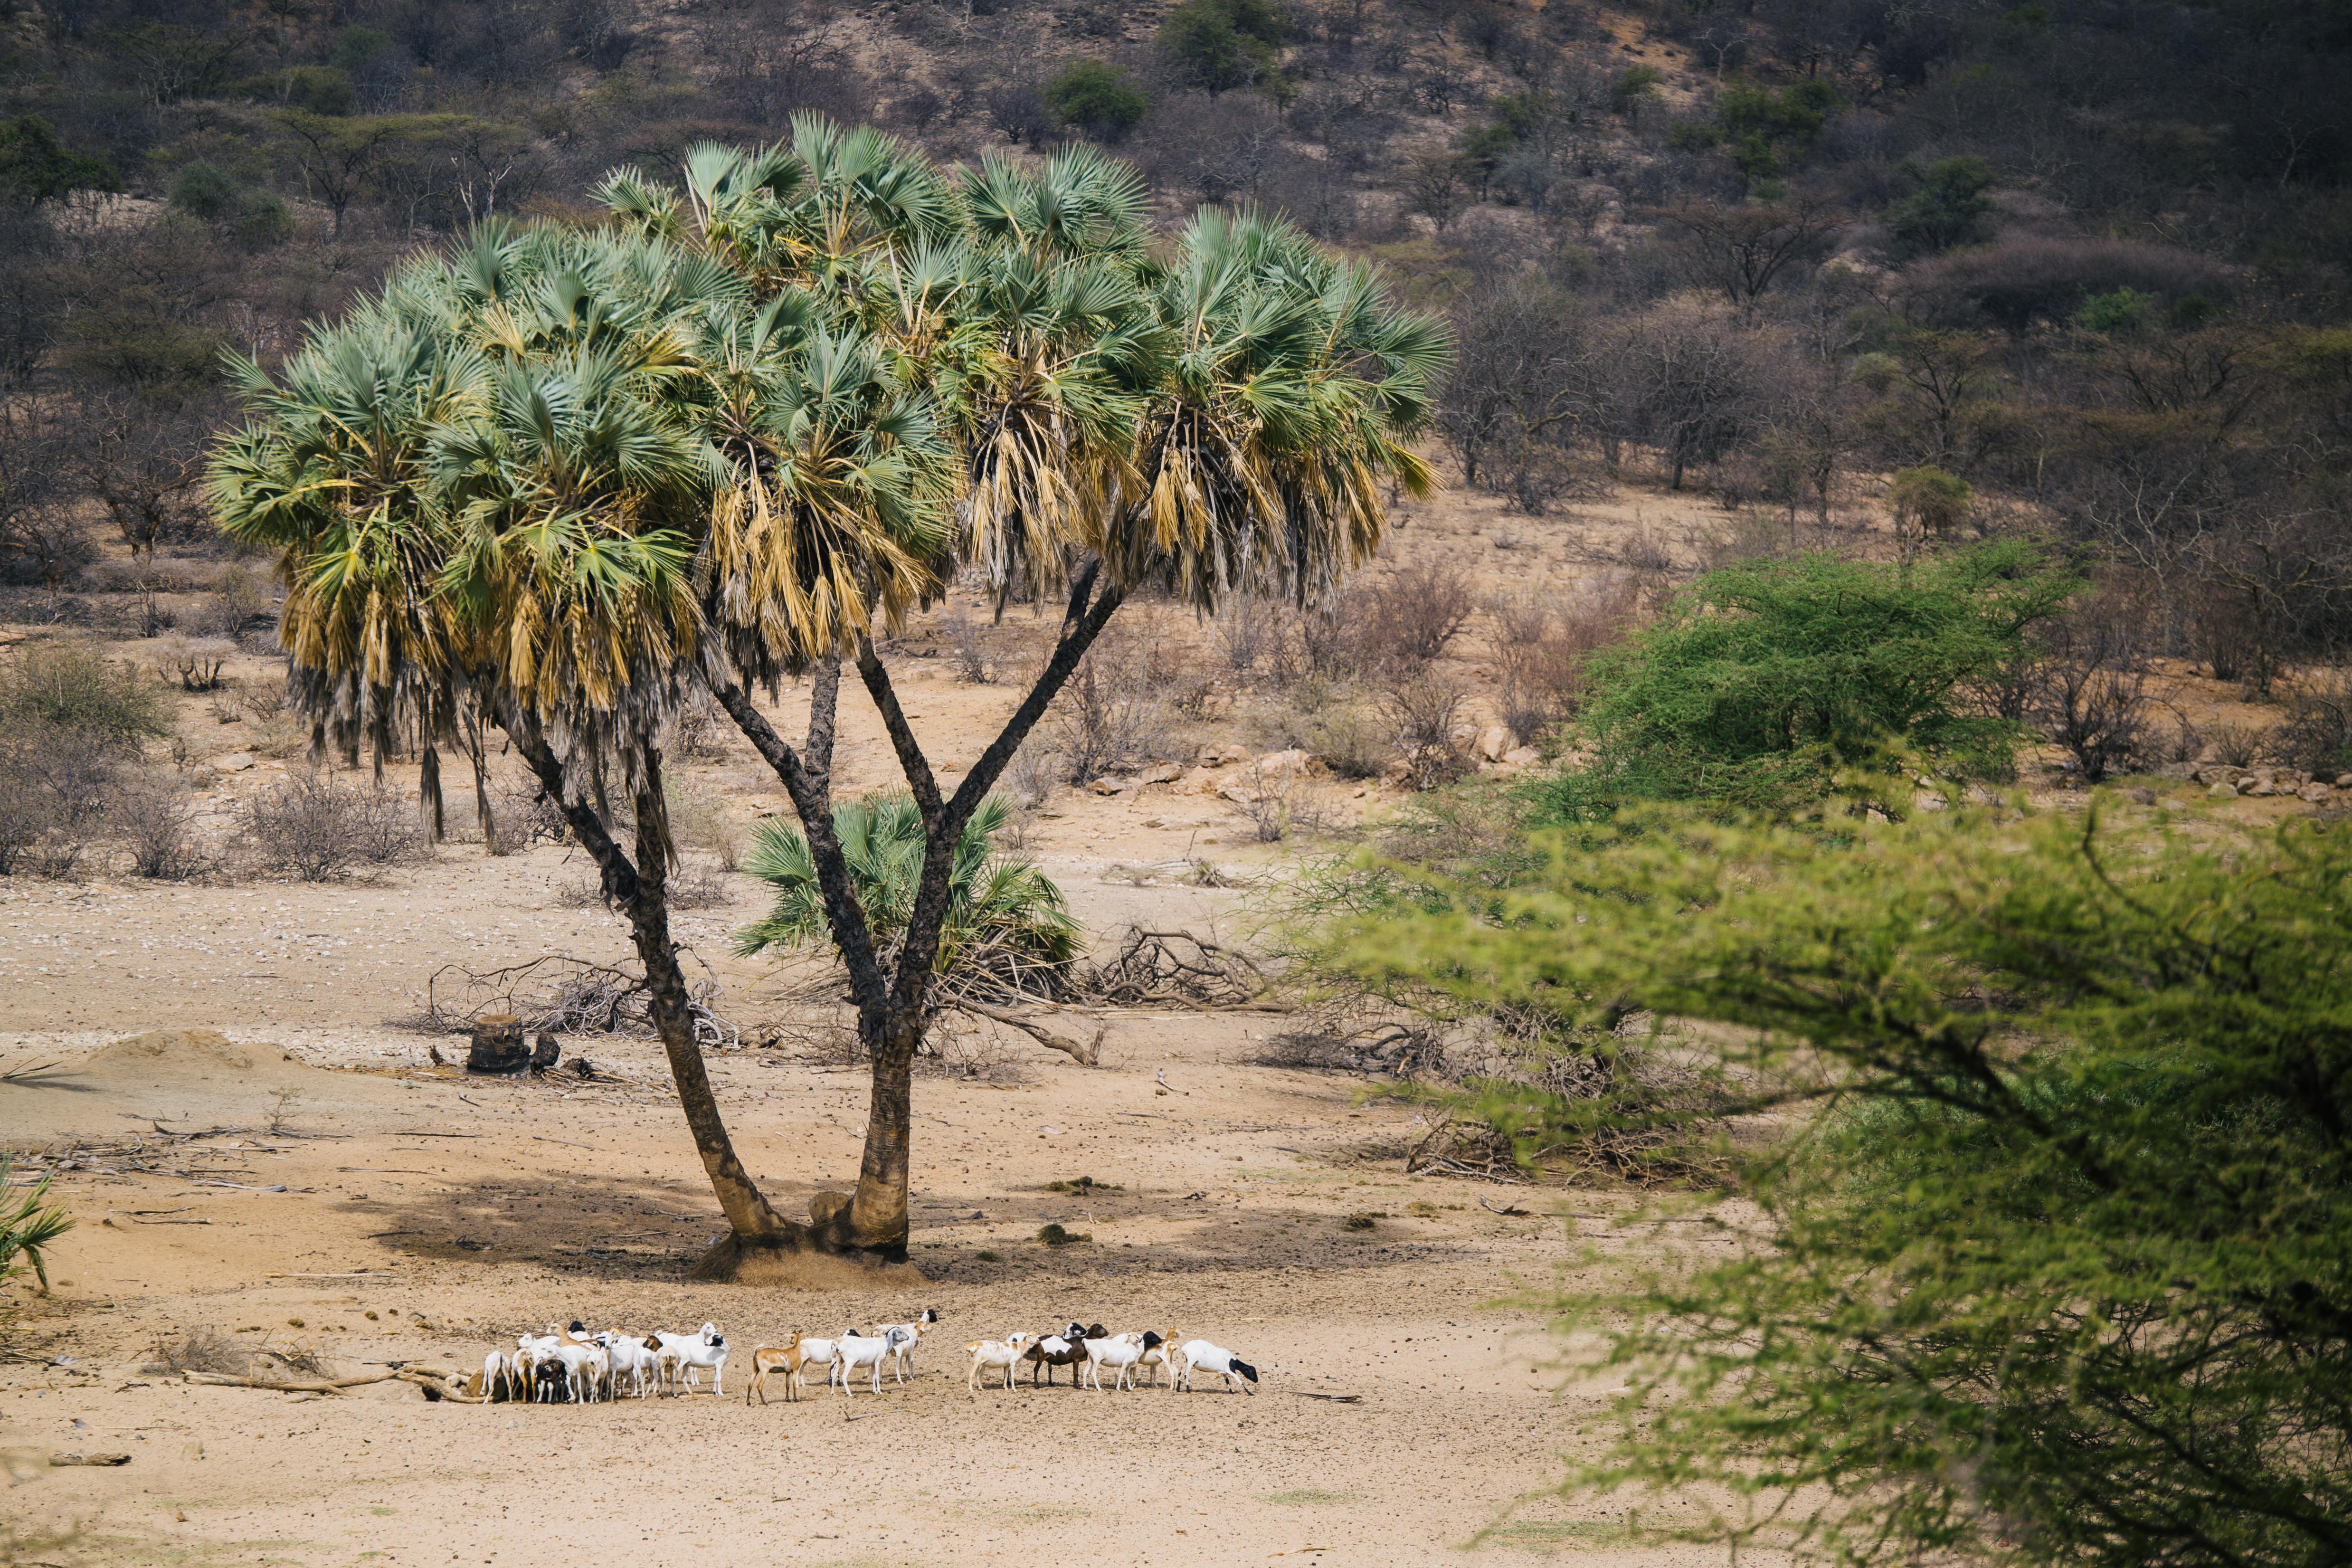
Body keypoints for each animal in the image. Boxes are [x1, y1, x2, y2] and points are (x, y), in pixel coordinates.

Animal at [965, 1332, 1035, 1396]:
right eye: (1030, 1335)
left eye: (1036, 1334)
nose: (1037, 1340)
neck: (1019, 1347)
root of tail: (970, 1346)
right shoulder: (1013, 1363)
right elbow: (1012, 1376)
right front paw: (1014, 1389)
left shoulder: (1007, 1365)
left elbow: (1006, 1375)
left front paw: (1006, 1388)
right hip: (977, 1362)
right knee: (971, 1373)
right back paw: (971, 1390)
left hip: (981, 1364)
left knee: (978, 1374)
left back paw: (981, 1388)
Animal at [1174, 1338, 1258, 1394]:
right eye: (1252, 1372)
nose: (1257, 1380)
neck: (1231, 1361)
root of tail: (1184, 1348)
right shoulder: (1232, 1372)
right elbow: (1241, 1382)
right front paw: (1250, 1393)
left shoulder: (1224, 1373)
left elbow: (1227, 1381)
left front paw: (1231, 1392)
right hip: (1191, 1362)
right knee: (1186, 1375)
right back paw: (1188, 1390)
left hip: (1188, 1362)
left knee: (1181, 1373)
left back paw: (1178, 1389)